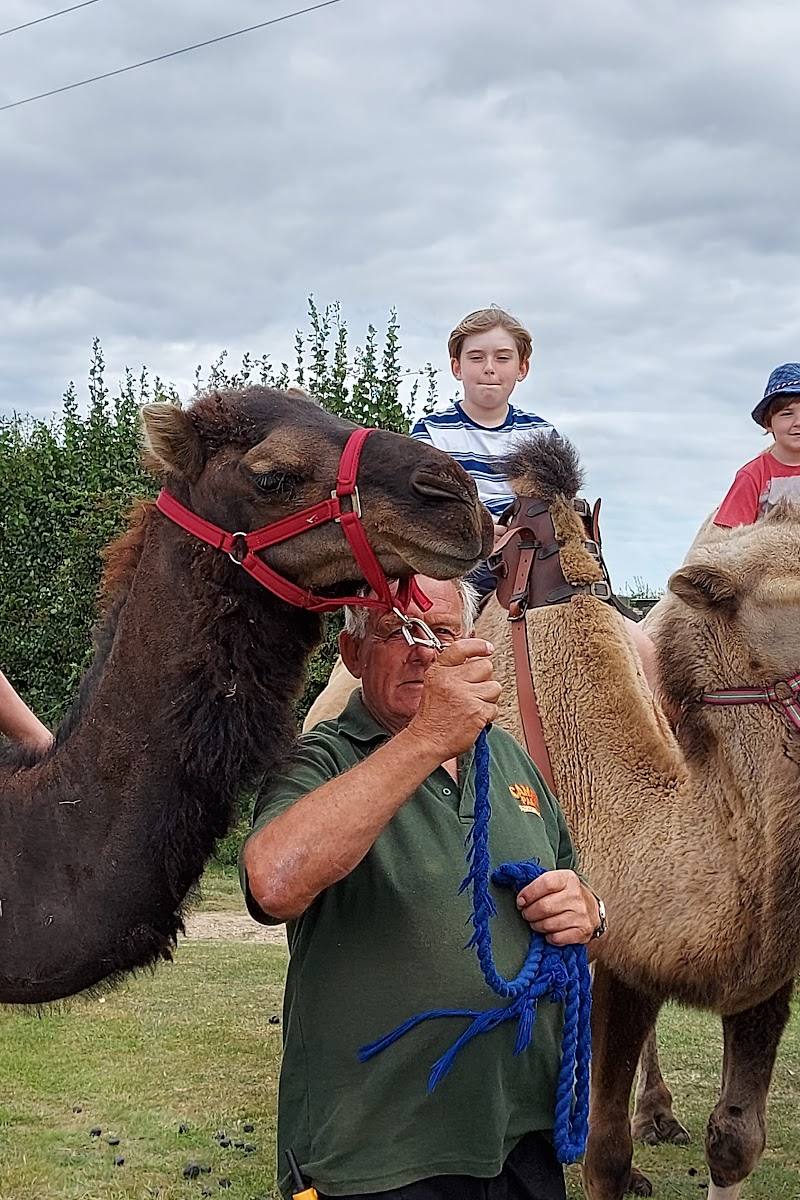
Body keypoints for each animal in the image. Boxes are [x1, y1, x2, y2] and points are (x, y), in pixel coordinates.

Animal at [477, 432, 800, 1200]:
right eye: (792, 597)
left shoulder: (761, 970)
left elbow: (735, 1140)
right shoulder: (611, 960)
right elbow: (606, 1154)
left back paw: (658, 1115)